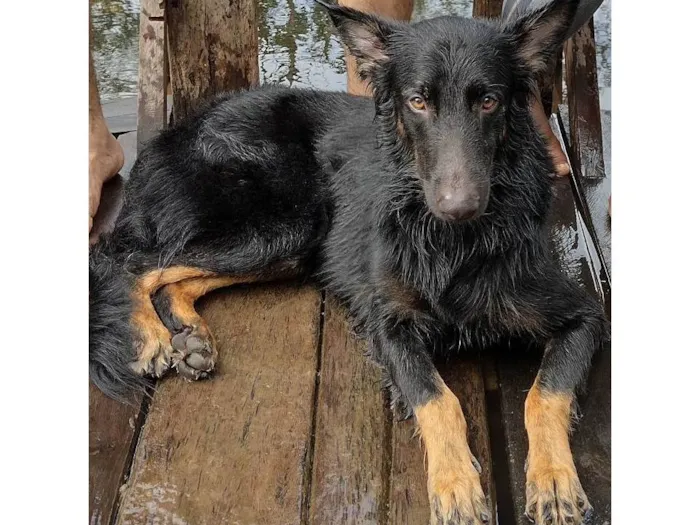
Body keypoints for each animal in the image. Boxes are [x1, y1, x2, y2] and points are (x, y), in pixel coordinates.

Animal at [90, 2, 608, 520]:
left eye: (489, 102)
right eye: (418, 102)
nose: (457, 207)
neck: (455, 243)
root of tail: (176, 131)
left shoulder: (583, 318)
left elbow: (545, 395)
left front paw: (554, 478)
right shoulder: (388, 324)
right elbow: (438, 399)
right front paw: (455, 482)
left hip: (290, 246)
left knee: (172, 277)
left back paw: (190, 335)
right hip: (288, 224)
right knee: (129, 260)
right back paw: (151, 336)